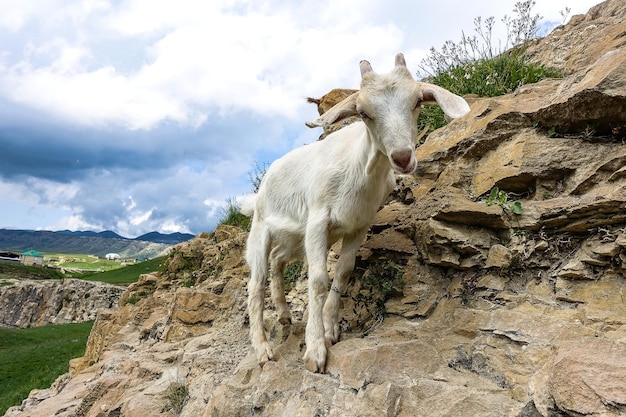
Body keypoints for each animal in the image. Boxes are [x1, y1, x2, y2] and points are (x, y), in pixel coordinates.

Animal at [241, 52, 466, 370]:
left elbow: (343, 273)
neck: (357, 171)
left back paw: (284, 315)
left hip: (293, 238)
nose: (402, 157)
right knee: (256, 283)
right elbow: (318, 280)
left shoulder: (358, 225)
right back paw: (262, 349)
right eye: (363, 112)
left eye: (417, 102)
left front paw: (329, 330)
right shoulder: (317, 221)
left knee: (278, 260)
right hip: (262, 228)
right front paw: (315, 350)